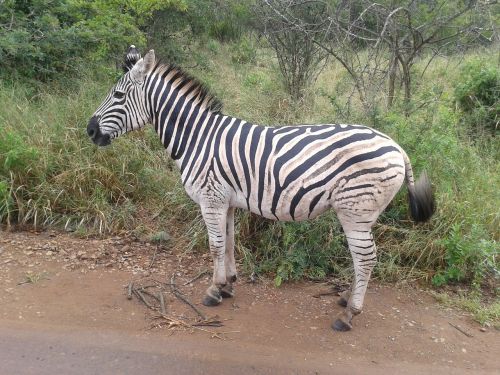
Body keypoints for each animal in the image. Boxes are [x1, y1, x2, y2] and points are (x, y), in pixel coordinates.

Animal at [87, 47, 434, 332]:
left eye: (118, 96)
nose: (89, 130)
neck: (197, 138)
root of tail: (397, 147)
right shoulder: (225, 201)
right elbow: (228, 243)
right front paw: (227, 285)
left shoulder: (210, 199)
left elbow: (214, 246)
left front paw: (213, 291)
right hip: (364, 212)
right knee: (363, 258)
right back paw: (346, 299)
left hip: (355, 209)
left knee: (365, 258)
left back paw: (349, 314)